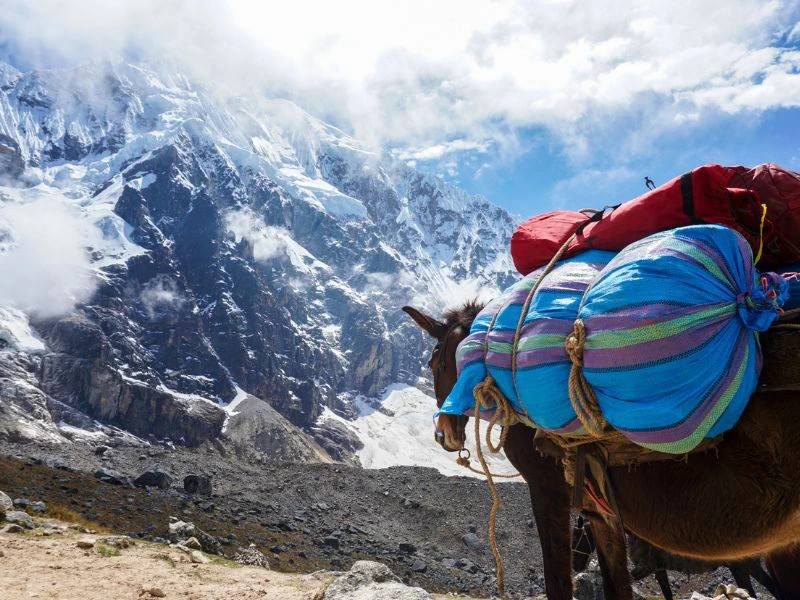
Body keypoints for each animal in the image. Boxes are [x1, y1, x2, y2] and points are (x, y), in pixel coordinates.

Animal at [403, 302, 800, 599]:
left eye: (434, 360)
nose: (443, 433)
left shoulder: (548, 492)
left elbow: (557, 583)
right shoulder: (601, 512)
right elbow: (616, 587)